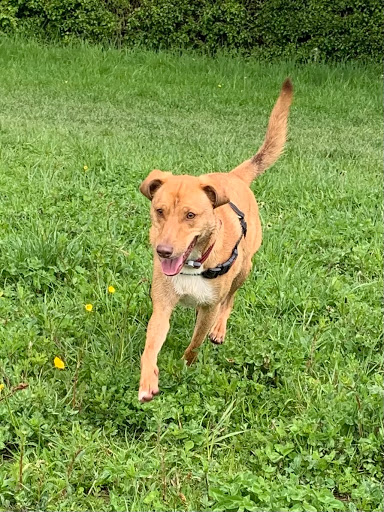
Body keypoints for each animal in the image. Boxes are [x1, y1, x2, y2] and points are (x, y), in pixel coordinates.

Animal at [140, 78, 292, 402]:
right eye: (159, 211)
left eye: (190, 215)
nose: (163, 251)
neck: (195, 263)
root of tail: (234, 177)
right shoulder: (162, 304)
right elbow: (151, 346)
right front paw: (148, 380)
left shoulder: (210, 305)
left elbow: (196, 342)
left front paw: (184, 365)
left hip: (245, 268)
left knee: (230, 300)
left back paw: (220, 328)